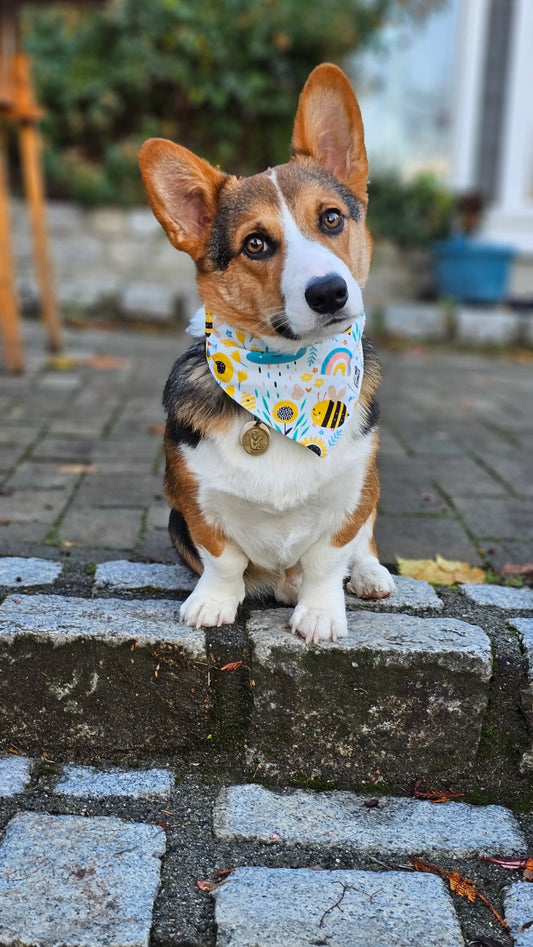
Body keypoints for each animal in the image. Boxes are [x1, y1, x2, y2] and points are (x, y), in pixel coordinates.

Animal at [139, 65, 392, 644]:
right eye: (255, 244)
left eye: (331, 219)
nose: (329, 293)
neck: (285, 378)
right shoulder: (192, 499)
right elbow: (223, 559)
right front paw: (212, 603)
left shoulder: (351, 492)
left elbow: (329, 557)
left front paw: (319, 614)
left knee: (366, 542)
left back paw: (371, 576)